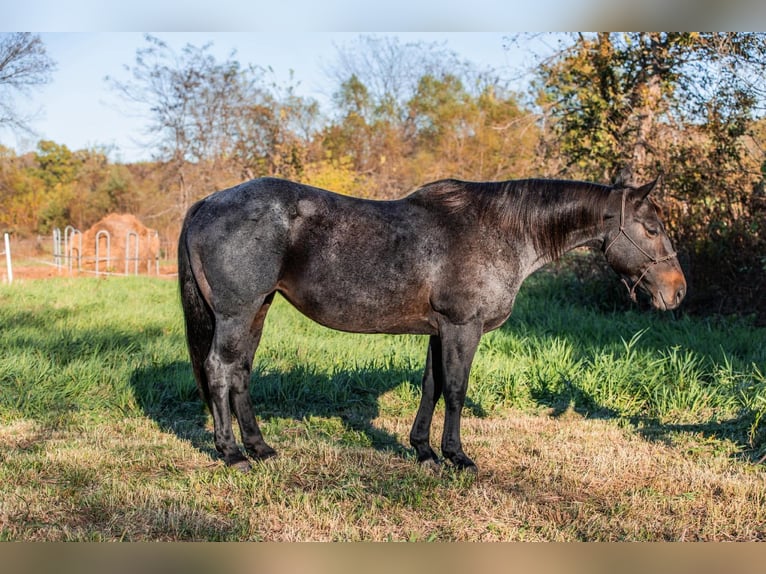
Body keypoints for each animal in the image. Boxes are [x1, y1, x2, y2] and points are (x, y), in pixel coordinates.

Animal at [178, 176, 686, 472]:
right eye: (653, 228)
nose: (678, 291)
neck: (501, 229)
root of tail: (208, 201)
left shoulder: (439, 330)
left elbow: (432, 387)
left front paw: (423, 450)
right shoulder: (463, 327)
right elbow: (457, 391)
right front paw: (457, 455)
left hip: (258, 310)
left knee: (240, 375)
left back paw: (260, 448)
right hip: (238, 313)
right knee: (221, 372)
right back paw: (233, 454)